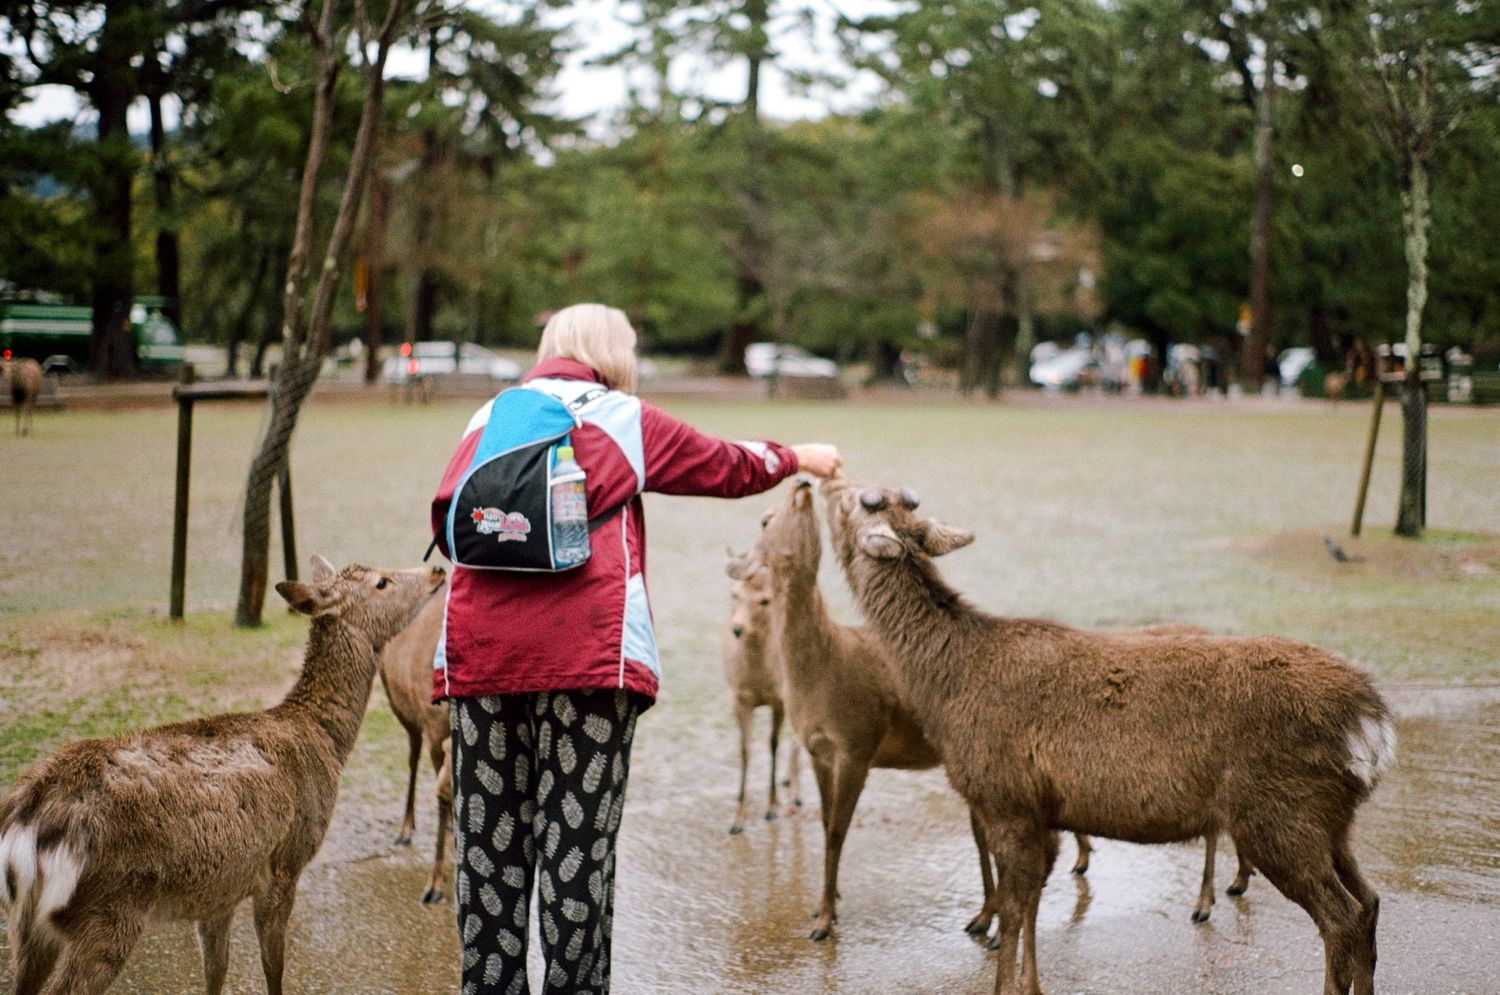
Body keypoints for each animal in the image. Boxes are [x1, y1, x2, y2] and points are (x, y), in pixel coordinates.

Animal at [0, 557, 446, 995]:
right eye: (382, 581)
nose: (437, 570)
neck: (323, 740)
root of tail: (25, 828)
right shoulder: (284, 862)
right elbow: (273, 966)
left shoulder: (220, 888)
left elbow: (216, 970)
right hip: (108, 909)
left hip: (28, 925)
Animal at [722, 546, 801, 835]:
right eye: (734, 593)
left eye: (765, 601)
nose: (737, 628)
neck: (758, 678)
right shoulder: (739, 698)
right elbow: (745, 750)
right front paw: (737, 820)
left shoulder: (779, 698)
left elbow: (773, 744)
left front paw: (772, 807)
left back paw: (795, 793)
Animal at [820, 474, 1393, 995]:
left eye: (854, 501)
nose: (827, 480)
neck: (947, 688)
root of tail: (1373, 722)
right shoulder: (1042, 809)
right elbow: (1030, 902)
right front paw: (1032, 985)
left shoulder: (1006, 798)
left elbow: (1012, 907)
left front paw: (1005, 982)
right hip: (1331, 820)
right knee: (1369, 903)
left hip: (1279, 814)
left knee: (1340, 917)